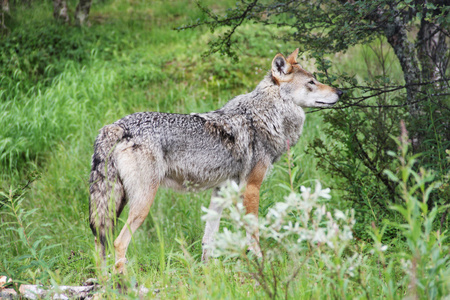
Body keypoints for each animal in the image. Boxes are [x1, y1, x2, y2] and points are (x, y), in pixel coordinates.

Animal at [88, 48, 342, 274]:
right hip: (141, 203)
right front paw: (261, 264)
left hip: (114, 204)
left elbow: (209, 238)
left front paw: (208, 273)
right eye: (311, 82)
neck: (265, 117)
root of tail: (117, 126)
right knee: (119, 242)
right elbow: (253, 234)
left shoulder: (221, 191)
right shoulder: (251, 188)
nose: (340, 92)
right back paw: (123, 282)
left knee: (100, 243)